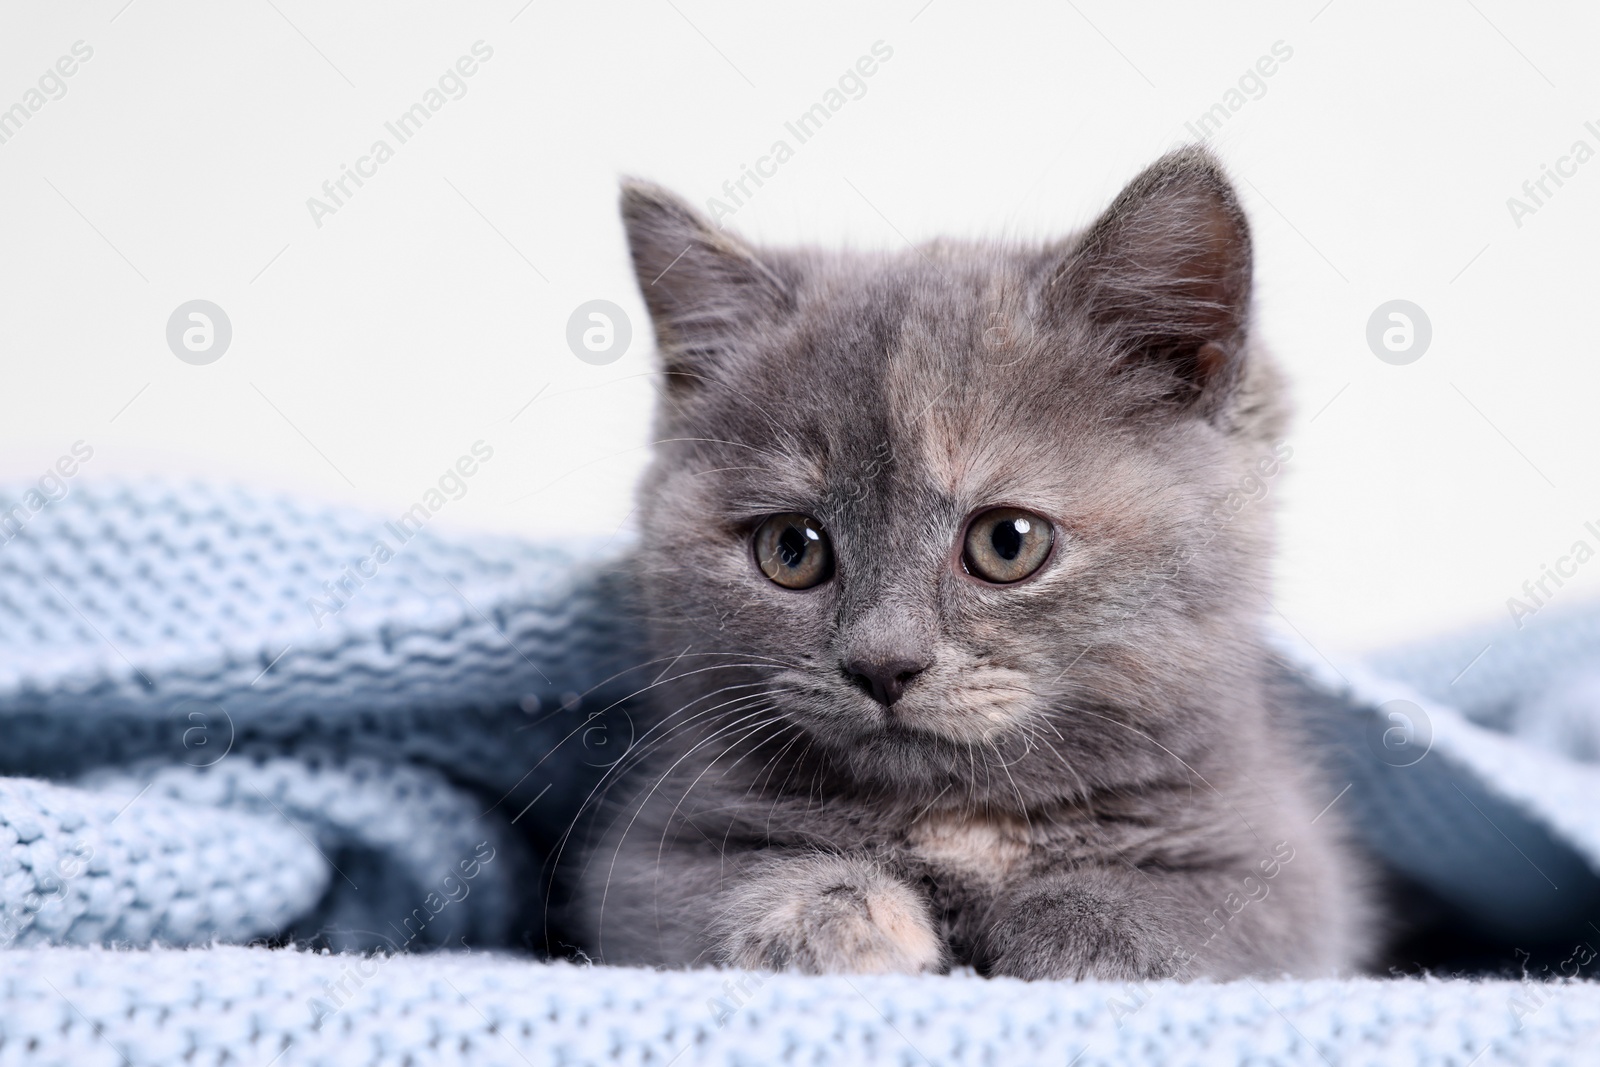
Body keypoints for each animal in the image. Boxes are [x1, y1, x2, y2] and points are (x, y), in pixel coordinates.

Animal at [569, 150, 1369, 985]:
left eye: (1008, 542)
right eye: (791, 547)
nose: (883, 663)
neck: (960, 822)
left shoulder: (1287, 857)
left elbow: (1205, 909)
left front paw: (1075, 929)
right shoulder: (648, 849)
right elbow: (712, 885)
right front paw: (838, 919)